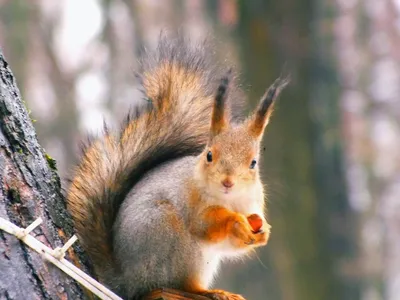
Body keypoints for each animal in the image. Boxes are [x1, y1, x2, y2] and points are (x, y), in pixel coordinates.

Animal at [67, 35, 290, 300]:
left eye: (253, 162)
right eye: (209, 155)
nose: (228, 182)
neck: (229, 199)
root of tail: (126, 281)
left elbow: (235, 244)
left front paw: (263, 229)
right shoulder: (192, 203)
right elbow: (205, 224)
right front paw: (235, 222)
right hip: (169, 235)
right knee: (179, 284)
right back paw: (208, 292)